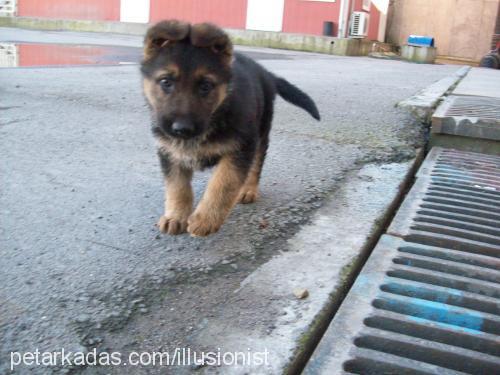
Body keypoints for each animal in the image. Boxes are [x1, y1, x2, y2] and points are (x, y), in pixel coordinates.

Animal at [141, 20, 320, 236]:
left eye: (205, 86)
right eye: (166, 82)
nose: (182, 129)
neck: (217, 113)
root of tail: (265, 73)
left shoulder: (241, 148)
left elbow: (224, 182)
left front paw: (206, 219)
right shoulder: (169, 151)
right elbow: (177, 185)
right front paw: (175, 216)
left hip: (261, 133)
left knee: (256, 165)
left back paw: (248, 190)